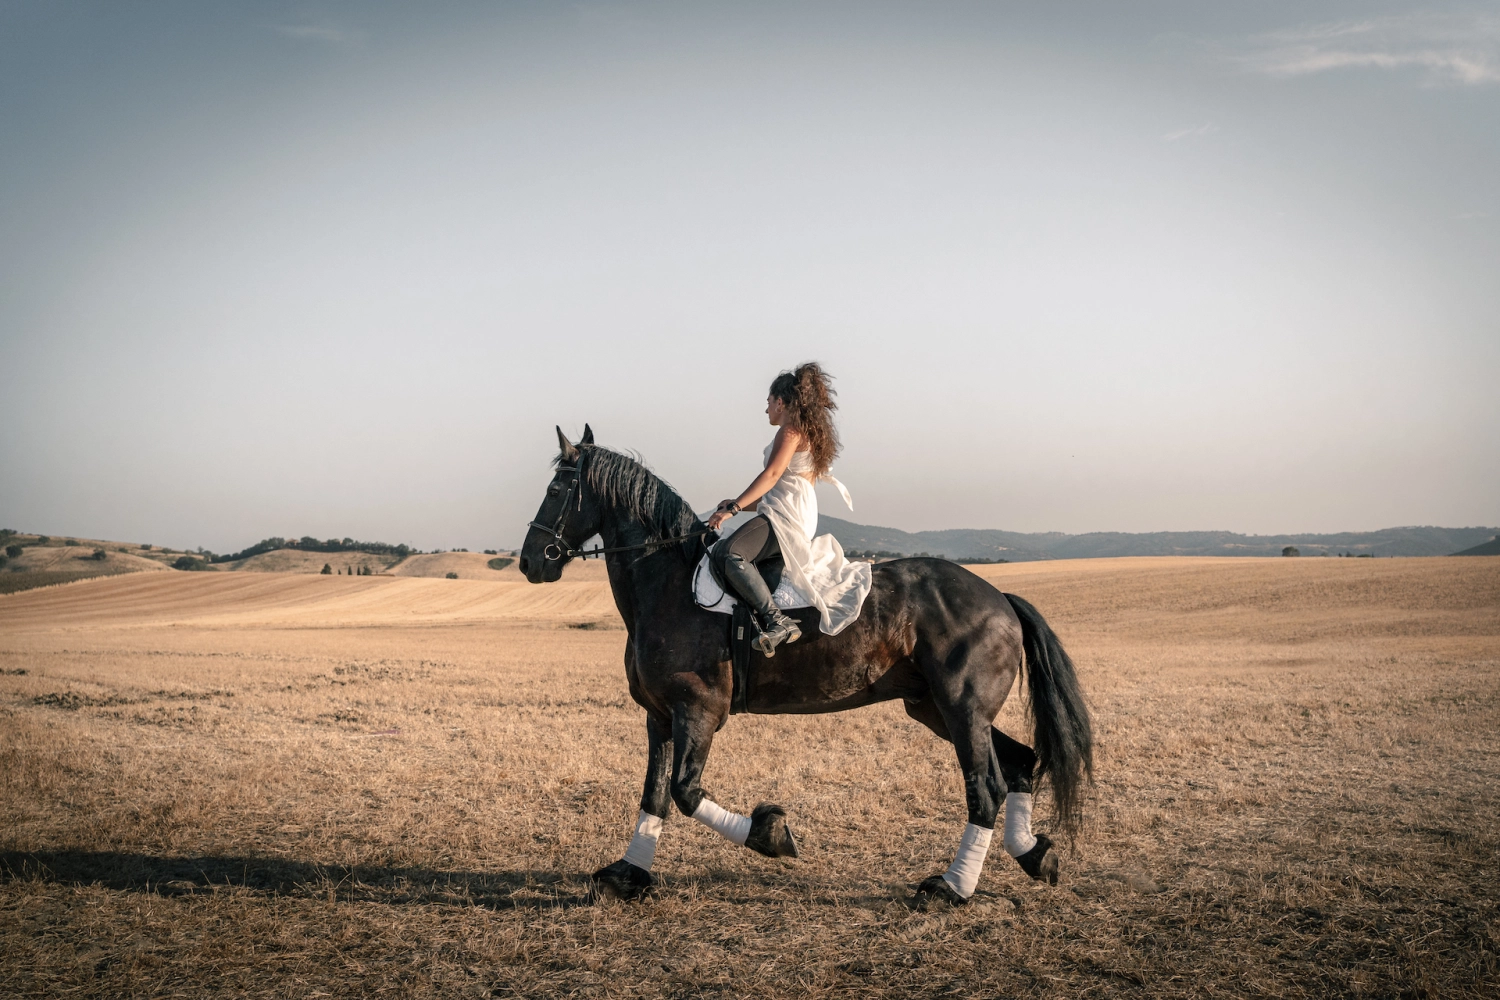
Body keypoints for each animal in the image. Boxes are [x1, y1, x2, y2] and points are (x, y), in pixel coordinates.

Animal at [522, 425, 1098, 905]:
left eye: (555, 491)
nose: (530, 562)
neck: (666, 582)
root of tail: (998, 597)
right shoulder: (660, 715)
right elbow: (654, 795)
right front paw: (627, 875)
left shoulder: (698, 710)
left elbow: (684, 792)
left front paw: (771, 834)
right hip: (937, 708)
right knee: (1020, 764)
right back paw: (1035, 855)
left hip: (962, 708)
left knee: (986, 790)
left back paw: (951, 888)